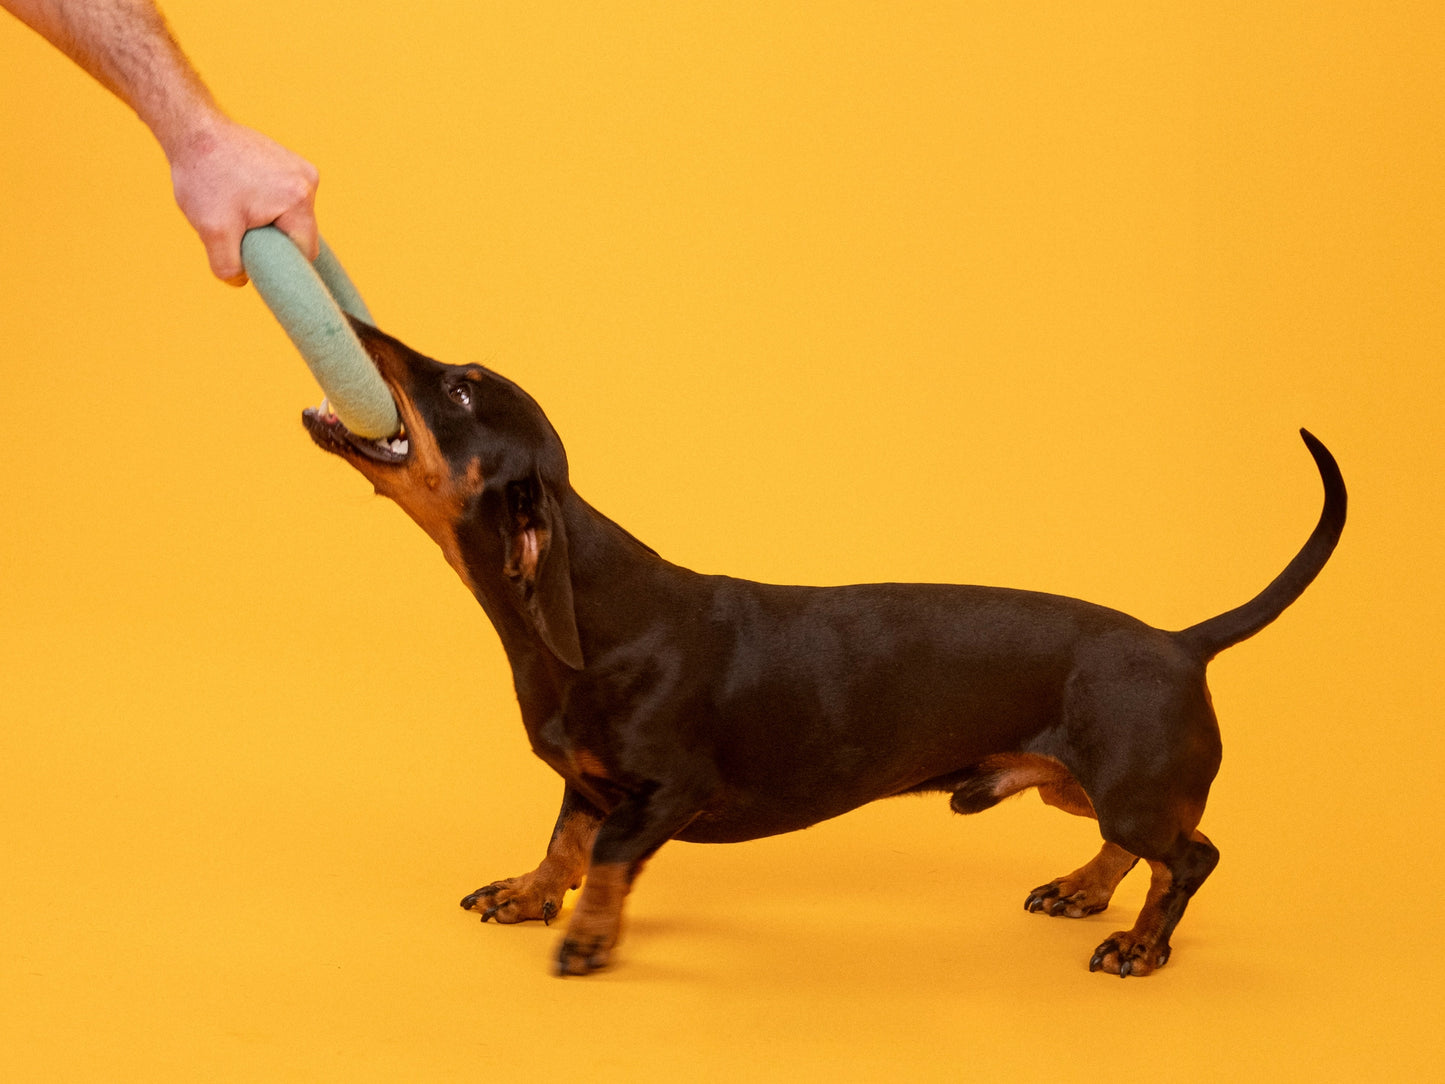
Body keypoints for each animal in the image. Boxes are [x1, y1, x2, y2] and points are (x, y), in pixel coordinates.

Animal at [302, 320, 1340, 977]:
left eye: (460, 387)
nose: (352, 319)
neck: (586, 615)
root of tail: (1178, 644)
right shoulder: (584, 781)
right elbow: (563, 843)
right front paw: (526, 894)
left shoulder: (662, 794)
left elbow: (606, 862)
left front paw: (588, 941)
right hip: (1078, 784)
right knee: (1145, 847)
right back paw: (1086, 891)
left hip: (1128, 785)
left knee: (1188, 857)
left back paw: (1139, 945)